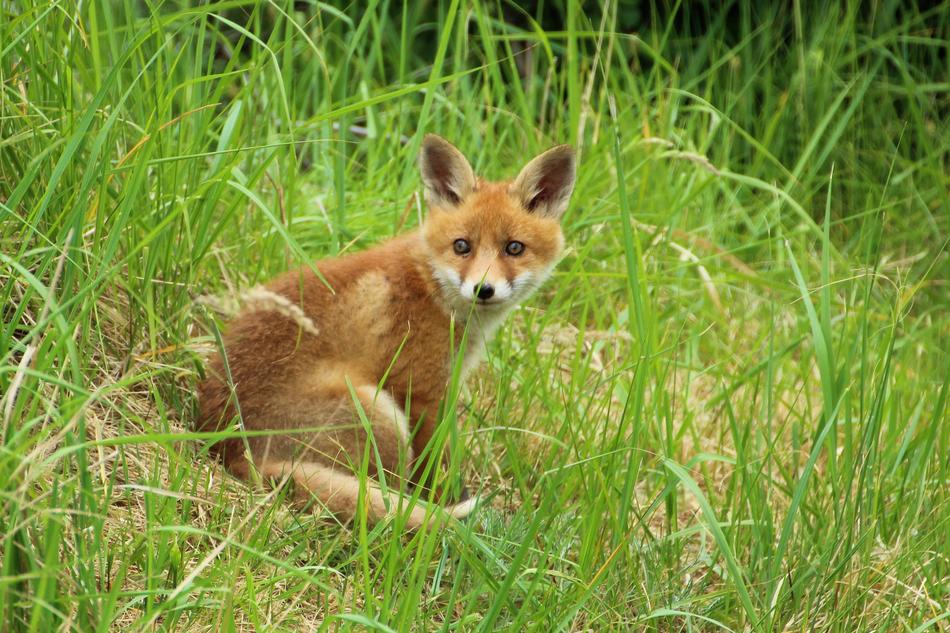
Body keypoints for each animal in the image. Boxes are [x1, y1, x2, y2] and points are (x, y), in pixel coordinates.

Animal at [197, 134, 576, 528]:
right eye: (462, 246)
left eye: (514, 248)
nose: (483, 289)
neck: (432, 286)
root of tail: (233, 451)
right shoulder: (421, 391)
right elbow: (433, 466)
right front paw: (443, 500)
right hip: (381, 413)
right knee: (387, 490)